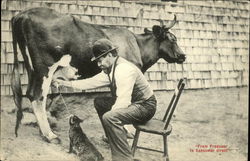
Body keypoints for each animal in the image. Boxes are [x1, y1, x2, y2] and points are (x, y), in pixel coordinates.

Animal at [10, 6, 185, 143]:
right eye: (172, 39)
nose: (183, 56)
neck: (137, 45)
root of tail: (23, 14)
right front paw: (128, 130)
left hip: (31, 68)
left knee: (29, 93)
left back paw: (43, 132)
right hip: (44, 67)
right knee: (37, 95)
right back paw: (50, 135)